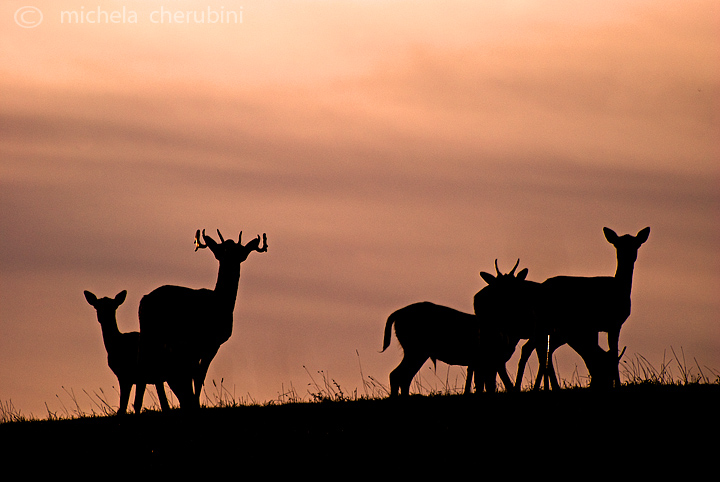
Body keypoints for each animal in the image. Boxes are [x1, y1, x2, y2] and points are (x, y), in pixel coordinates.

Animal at [138, 228, 268, 408]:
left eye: (239, 251)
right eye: (222, 251)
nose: (230, 260)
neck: (219, 303)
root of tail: (144, 301)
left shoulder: (203, 346)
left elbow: (198, 374)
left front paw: (193, 401)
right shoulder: (206, 343)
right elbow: (198, 374)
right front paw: (194, 402)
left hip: (150, 335)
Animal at [380, 300, 516, 398]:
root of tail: (397, 314)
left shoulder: (482, 363)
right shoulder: (493, 360)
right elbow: (501, 384)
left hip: (415, 350)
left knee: (403, 375)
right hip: (416, 349)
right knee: (398, 374)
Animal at [516, 228, 648, 390]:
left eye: (636, 244)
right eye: (618, 244)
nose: (628, 255)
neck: (619, 288)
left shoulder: (598, 327)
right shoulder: (612, 324)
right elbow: (611, 353)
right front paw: (614, 385)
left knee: (538, 348)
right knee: (538, 348)